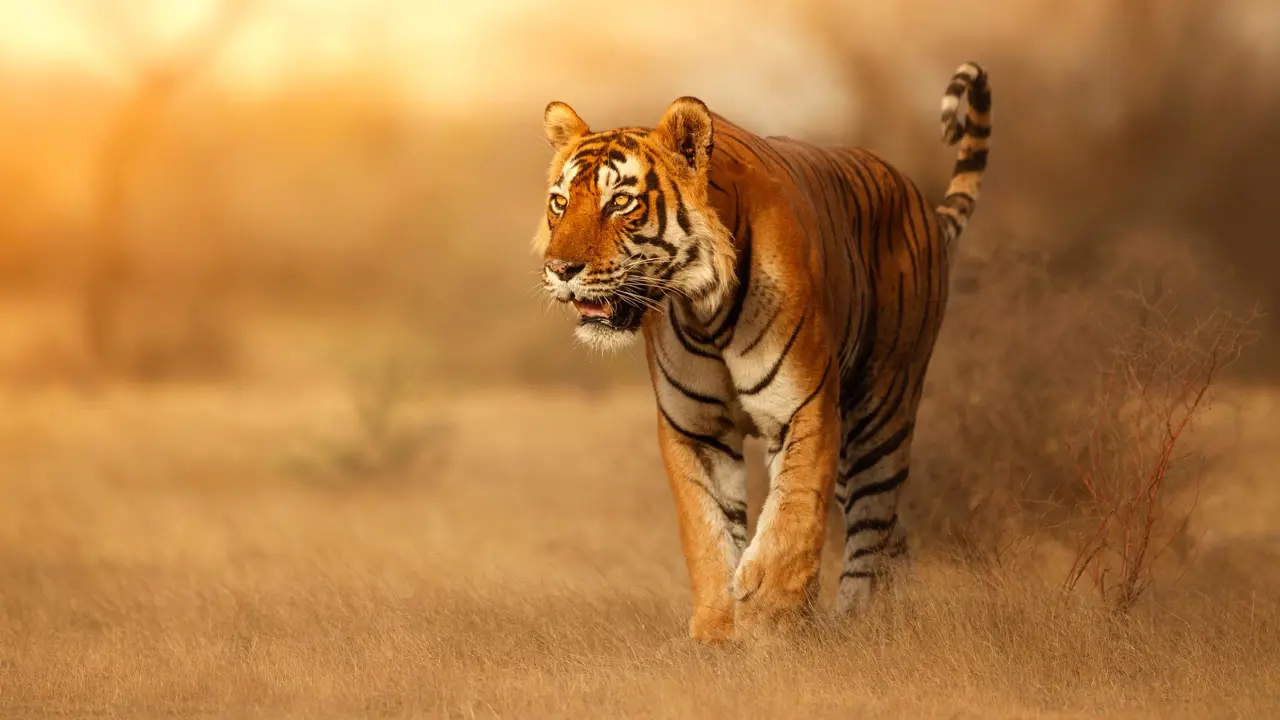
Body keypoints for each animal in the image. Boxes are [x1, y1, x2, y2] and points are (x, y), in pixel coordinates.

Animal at [532, 62, 992, 643]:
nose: (559, 269)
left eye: (621, 202)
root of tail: (921, 203)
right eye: (560, 203)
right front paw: (716, 629)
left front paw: (769, 620)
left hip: (881, 411)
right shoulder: (695, 428)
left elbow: (792, 517)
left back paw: (856, 622)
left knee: (871, 524)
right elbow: (706, 530)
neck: (703, 309)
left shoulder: (804, 407)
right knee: (891, 532)